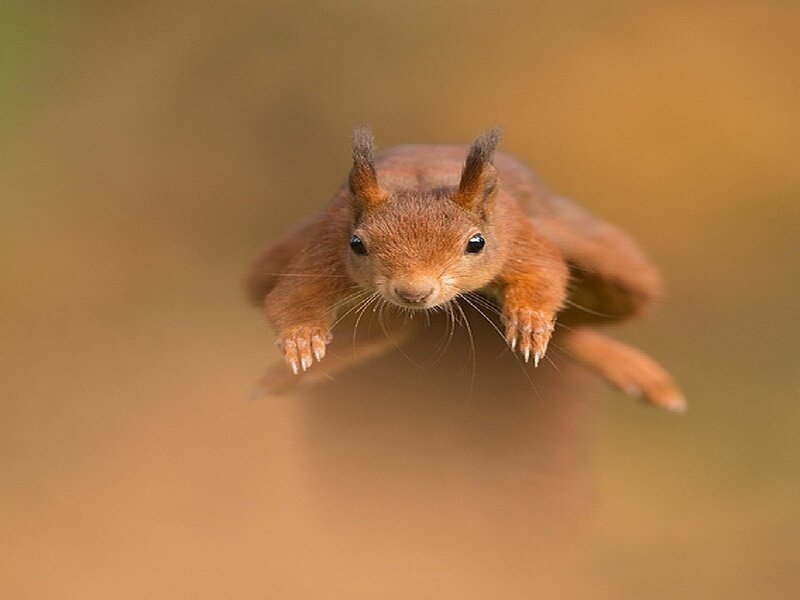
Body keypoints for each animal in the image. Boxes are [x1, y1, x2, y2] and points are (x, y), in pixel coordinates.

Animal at [245, 127, 686, 411]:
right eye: (357, 244)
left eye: (476, 243)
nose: (414, 293)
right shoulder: (326, 244)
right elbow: (290, 297)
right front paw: (301, 341)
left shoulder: (515, 236)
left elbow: (544, 273)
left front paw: (529, 322)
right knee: (386, 328)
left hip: (609, 260)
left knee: (574, 324)